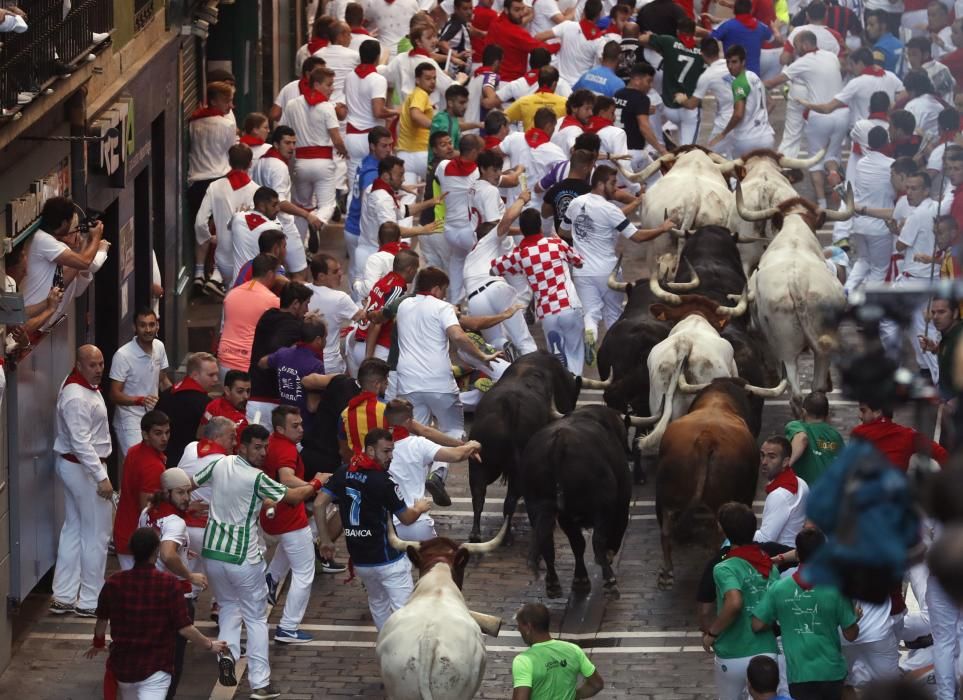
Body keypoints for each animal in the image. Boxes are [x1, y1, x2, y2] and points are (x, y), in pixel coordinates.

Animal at [466, 352, 580, 544]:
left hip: (479, 464)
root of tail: (508, 404)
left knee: (478, 494)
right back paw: (507, 537)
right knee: (509, 500)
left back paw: (475, 534)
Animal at [656, 378, 760, 592]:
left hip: (669, 497)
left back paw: (667, 574)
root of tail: (706, 439)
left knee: (666, 531)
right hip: (724, 502)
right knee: (719, 538)